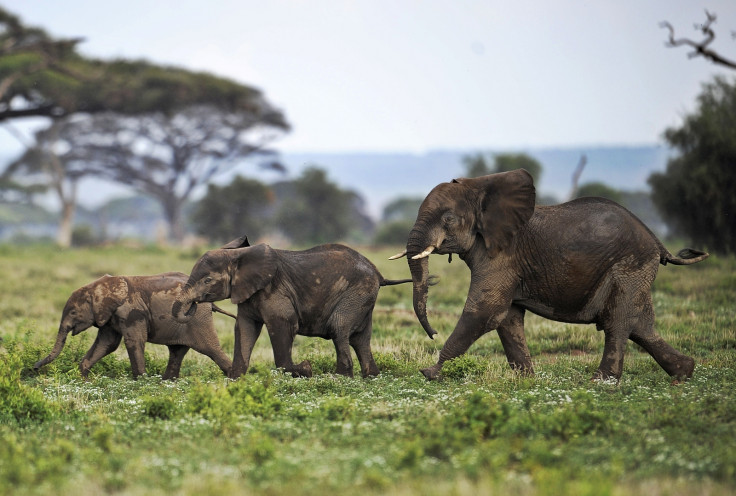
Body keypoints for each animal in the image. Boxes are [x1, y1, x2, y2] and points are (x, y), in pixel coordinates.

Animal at [34, 274, 233, 378]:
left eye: (74, 313)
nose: (34, 368)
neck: (99, 286)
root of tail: (210, 302)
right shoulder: (109, 315)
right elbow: (106, 344)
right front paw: (82, 377)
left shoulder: (131, 312)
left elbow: (133, 342)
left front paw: (141, 382)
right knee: (177, 352)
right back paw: (167, 383)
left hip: (198, 319)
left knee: (211, 349)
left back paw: (234, 379)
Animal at [174, 236, 414, 380]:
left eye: (207, 280)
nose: (192, 306)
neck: (240, 256)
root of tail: (379, 274)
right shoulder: (248, 294)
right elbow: (244, 329)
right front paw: (236, 379)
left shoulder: (274, 291)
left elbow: (282, 325)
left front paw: (305, 369)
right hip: (364, 298)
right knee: (360, 338)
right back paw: (370, 376)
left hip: (357, 292)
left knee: (339, 328)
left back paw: (340, 378)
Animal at [394, 169, 712, 382]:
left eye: (448, 218)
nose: (433, 333)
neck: (480, 187)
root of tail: (655, 239)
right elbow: (507, 318)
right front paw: (526, 380)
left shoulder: (502, 256)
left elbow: (484, 311)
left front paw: (430, 373)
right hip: (636, 270)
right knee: (641, 325)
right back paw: (684, 373)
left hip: (629, 266)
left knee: (619, 321)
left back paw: (602, 382)